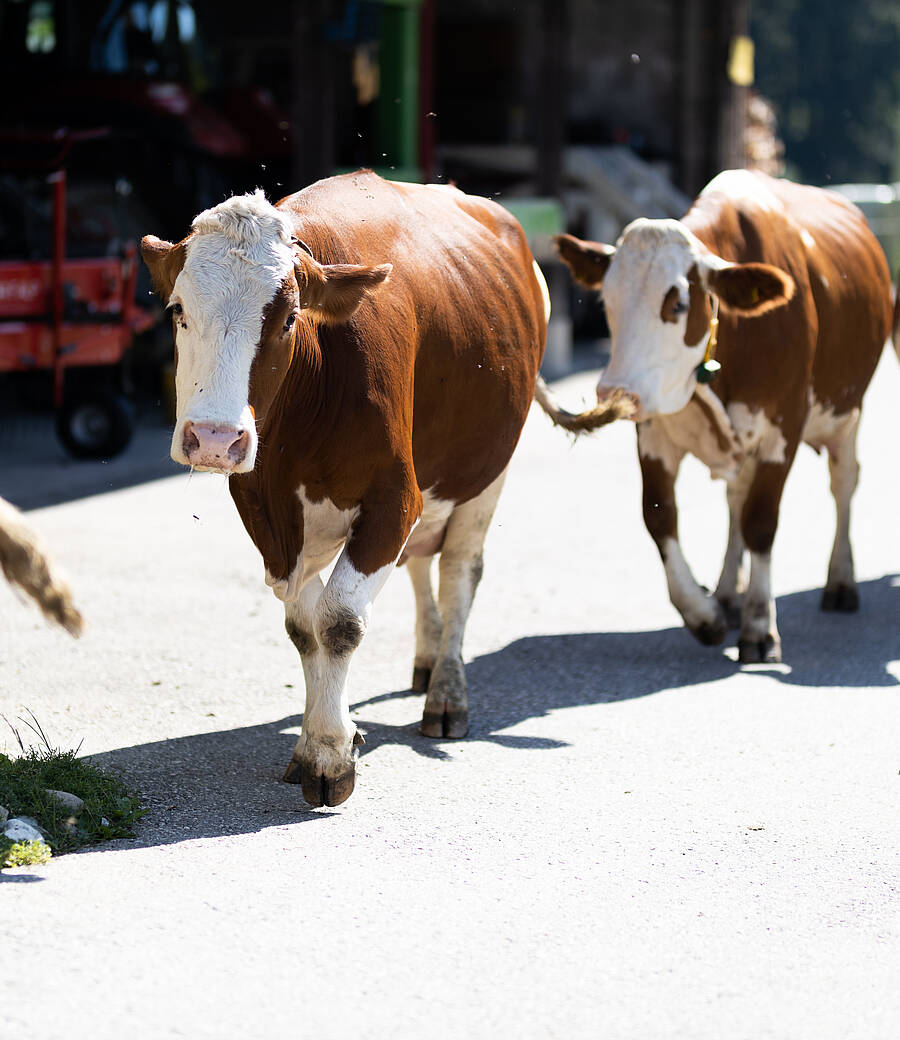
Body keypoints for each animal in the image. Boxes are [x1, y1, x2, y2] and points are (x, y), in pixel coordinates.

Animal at [140, 171, 562, 808]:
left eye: (288, 318)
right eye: (177, 309)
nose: (214, 439)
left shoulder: (395, 500)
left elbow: (338, 621)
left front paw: (330, 756)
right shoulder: (266, 514)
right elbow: (303, 626)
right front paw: (318, 739)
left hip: (486, 471)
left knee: (458, 572)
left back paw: (446, 693)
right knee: (422, 565)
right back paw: (425, 658)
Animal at [553, 169, 893, 664]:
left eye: (677, 304)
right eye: (606, 301)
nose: (616, 392)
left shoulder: (782, 430)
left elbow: (761, 523)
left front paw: (759, 626)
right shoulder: (654, 434)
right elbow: (660, 518)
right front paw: (705, 614)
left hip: (848, 413)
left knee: (843, 483)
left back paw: (840, 582)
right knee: (736, 498)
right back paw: (730, 595)